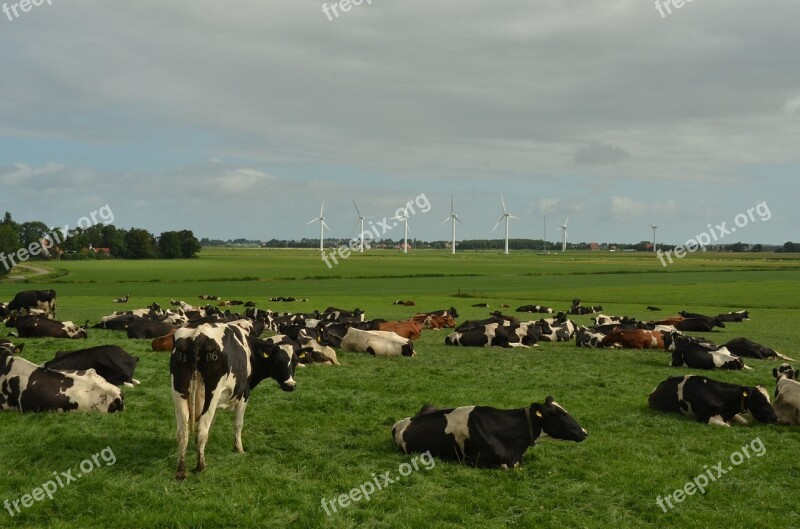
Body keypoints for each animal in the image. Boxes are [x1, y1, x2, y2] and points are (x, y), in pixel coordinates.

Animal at [170, 318, 298, 478]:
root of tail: (197, 335)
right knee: (201, 431)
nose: (290, 385)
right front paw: (239, 449)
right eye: (277, 361)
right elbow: (238, 424)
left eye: (295, 362)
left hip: (179, 393)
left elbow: (212, 424)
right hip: (211, 395)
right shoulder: (244, 394)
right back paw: (200, 467)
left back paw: (181, 471)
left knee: (182, 433)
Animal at [648, 374, 776, 426]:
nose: (777, 419)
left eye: (770, 399)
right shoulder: (703, 418)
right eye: (762, 401)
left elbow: (745, 421)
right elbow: (727, 426)